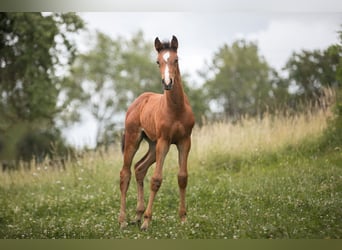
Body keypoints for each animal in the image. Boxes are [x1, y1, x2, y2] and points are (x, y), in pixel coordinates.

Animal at [119, 36, 195, 229]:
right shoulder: (165, 141)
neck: (176, 109)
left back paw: (138, 214)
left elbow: (182, 177)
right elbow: (156, 179)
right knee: (125, 173)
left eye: (176, 59)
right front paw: (147, 221)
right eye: (158, 61)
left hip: (153, 145)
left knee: (139, 168)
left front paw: (183, 218)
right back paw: (123, 220)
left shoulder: (185, 141)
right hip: (134, 139)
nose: (167, 83)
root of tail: (138, 101)